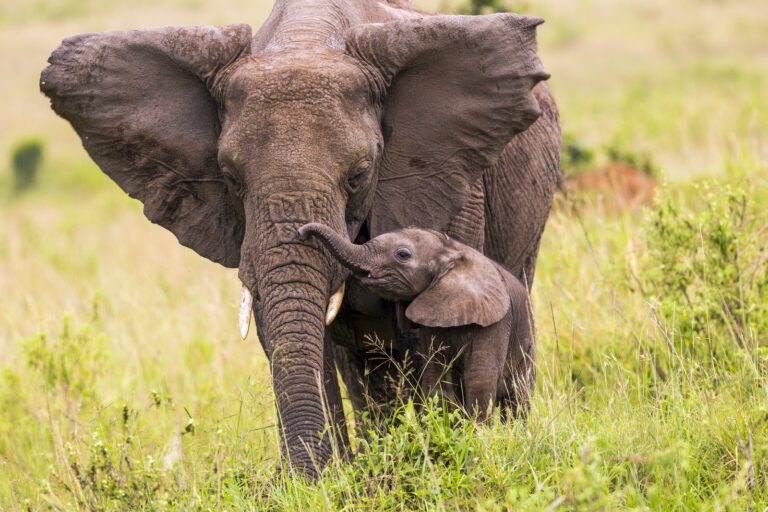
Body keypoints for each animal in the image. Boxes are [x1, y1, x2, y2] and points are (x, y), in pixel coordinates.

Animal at [298, 223, 535, 421]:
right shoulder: (433, 316)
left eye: (402, 255)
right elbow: (434, 374)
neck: (452, 252)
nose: (301, 232)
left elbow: (479, 378)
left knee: (518, 398)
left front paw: (477, 434)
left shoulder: (495, 323)